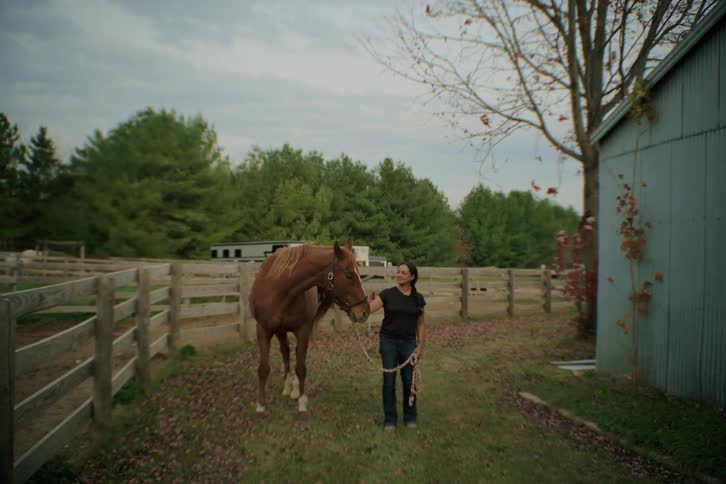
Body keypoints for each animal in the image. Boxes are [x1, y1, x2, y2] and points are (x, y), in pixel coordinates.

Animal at [249, 240, 370, 413]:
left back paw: (294, 388)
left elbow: (301, 368)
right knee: (285, 351)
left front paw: (302, 401)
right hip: (280, 331)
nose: (365, 312)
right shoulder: (263, 329)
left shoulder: (303, 330)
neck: (278, 289)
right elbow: (263, 368)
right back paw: (288, 386)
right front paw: (260, 404)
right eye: (349, 275)